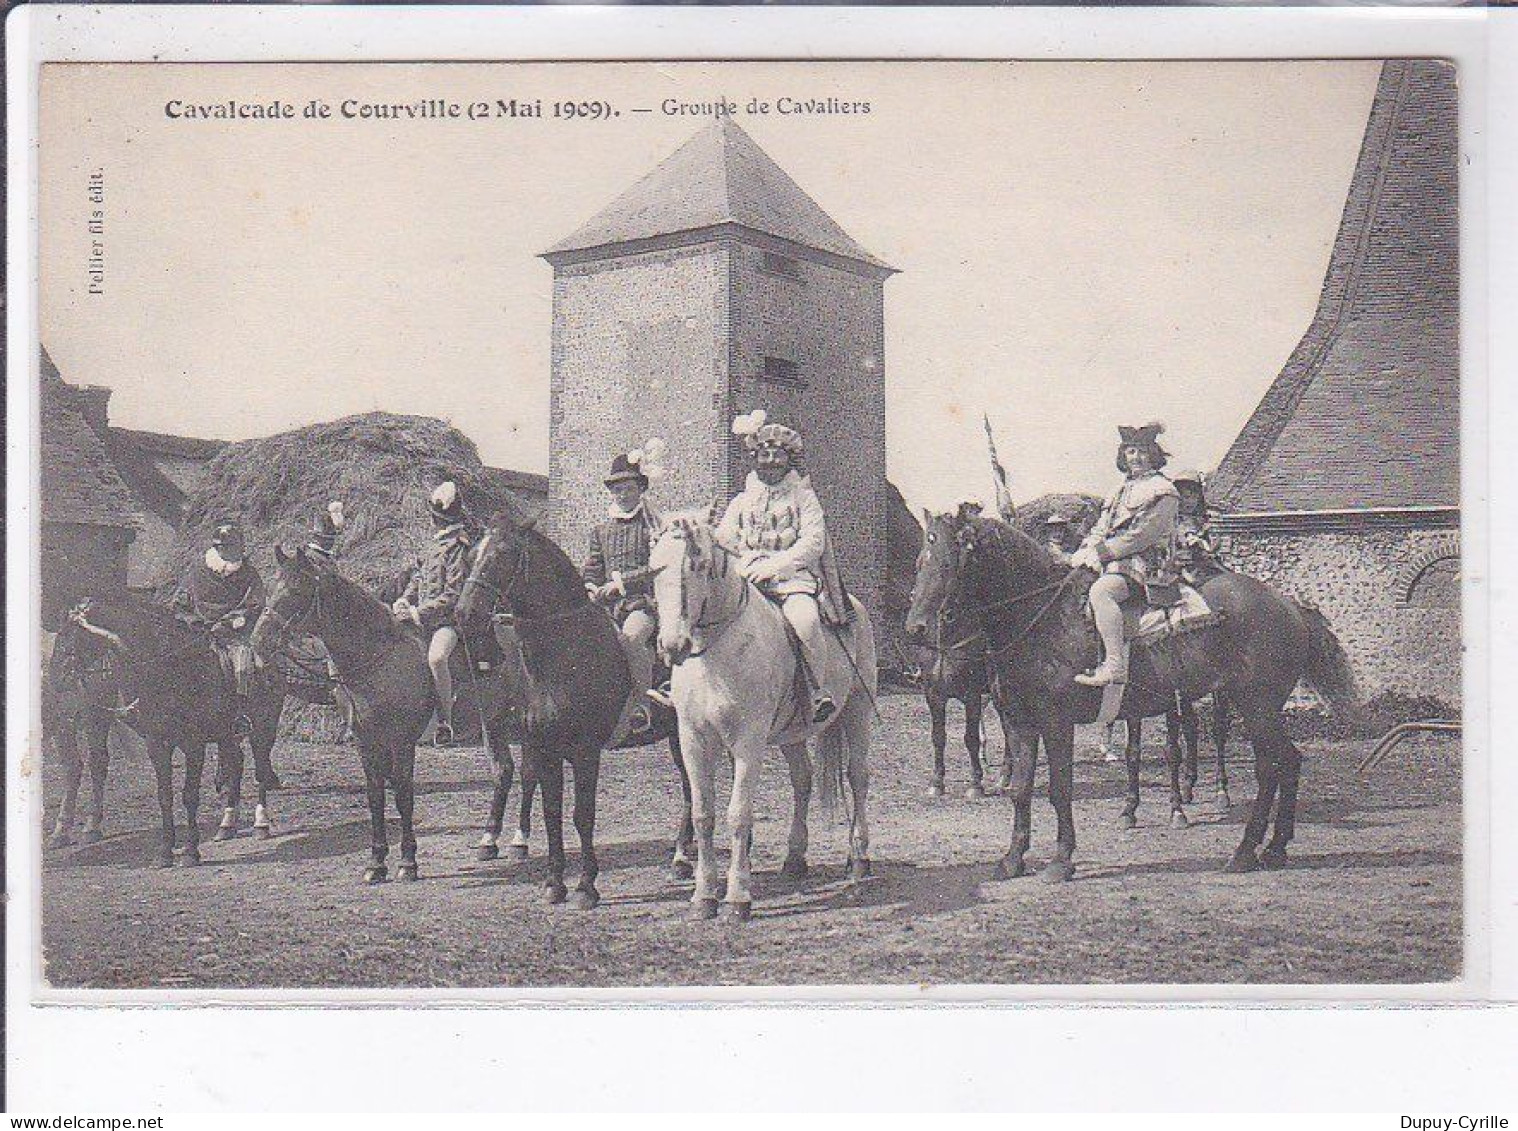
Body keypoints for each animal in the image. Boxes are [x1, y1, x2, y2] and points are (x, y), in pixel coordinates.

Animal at [646, 516, 874, 923]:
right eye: (655, 567)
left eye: (699, 565)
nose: (673, 646)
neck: (717, 651)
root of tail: (853, 610)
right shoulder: (693, 741)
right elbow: (703, 815)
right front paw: (704, 897)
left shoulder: (747, 743)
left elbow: (738, 815)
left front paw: (738, 898)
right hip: (791, 733)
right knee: (803, 779)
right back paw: (795, 858)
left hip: (857, 711)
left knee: (858, 778)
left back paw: (859, 861)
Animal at [898, 513, 1366, 880]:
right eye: (921, 561)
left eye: (950, 562)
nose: (916, 628)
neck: (1039, 619)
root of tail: (1289, 606)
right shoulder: (1019, 723)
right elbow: (1021, 789)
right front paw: (1013, 860)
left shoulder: (1057, 723)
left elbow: (1060, 789)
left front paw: (1061, 861)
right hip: (1255, 707)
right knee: (1287, 762)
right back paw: (1274, 848)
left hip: (1255, 706)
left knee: (1271, 767)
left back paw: (1245, 851)